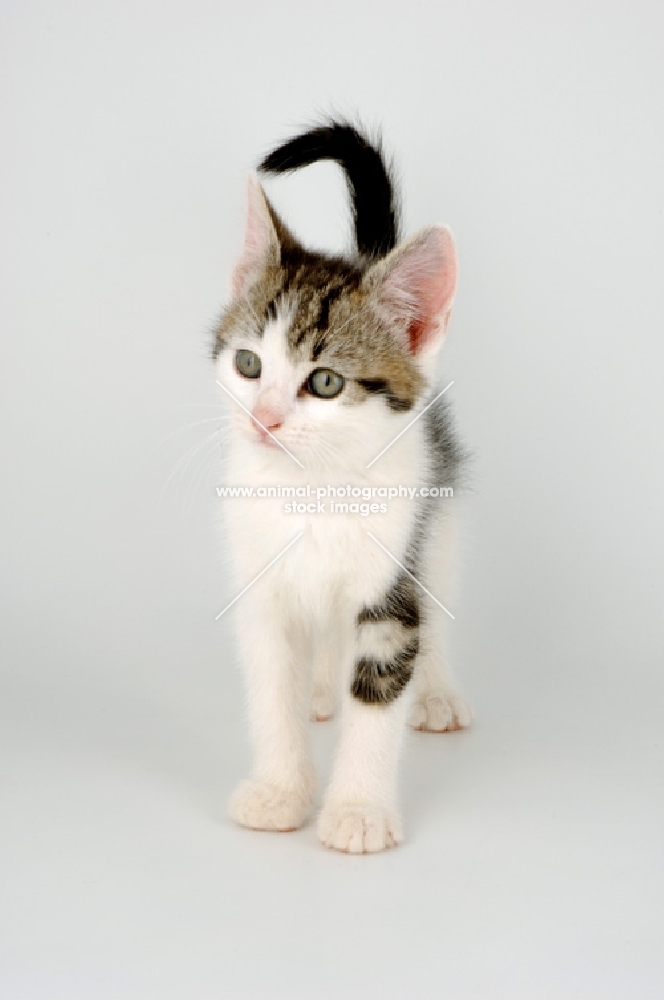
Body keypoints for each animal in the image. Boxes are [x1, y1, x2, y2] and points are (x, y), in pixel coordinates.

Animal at [214, 117, 472, 852]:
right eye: (248, 365)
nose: (266, 418)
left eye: (325, 381)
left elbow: (380, 697)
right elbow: (272, 692)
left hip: (438, 523)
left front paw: (357, 810)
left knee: (436, 605)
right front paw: (280, 793)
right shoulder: (260, 588)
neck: (316, 488)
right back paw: (322, 688)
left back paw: (435, 693)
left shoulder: (391, 584)